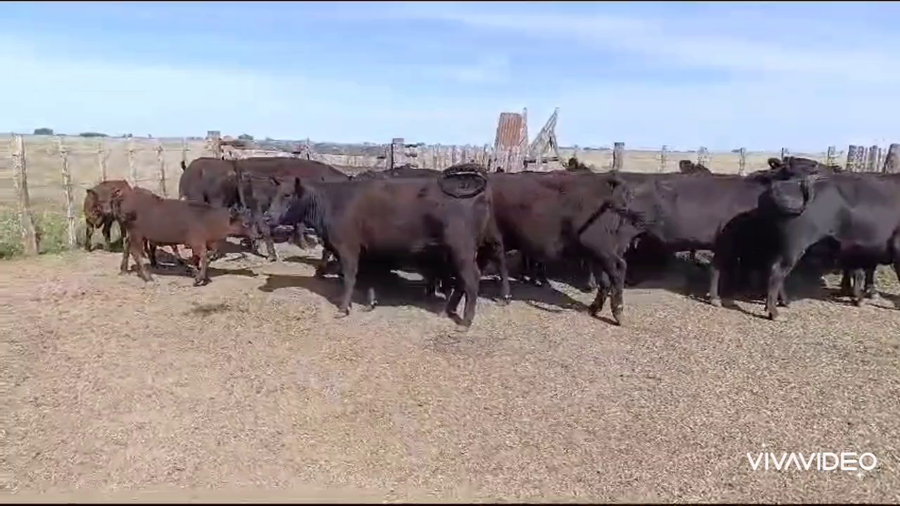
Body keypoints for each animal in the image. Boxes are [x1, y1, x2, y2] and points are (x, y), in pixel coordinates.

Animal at [111, 188, 259, 286]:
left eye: (252, 221)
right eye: (246, 223)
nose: (258, 235)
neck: (206, 219)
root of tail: (124, 195)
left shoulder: (203, 243)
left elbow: (201, 257)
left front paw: (196, 272)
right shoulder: (197, 242)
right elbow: (203, 257)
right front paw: (199, 278)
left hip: (132, 234)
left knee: (127, 246)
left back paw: (124, 269)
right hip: (137, 234)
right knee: (135, 252)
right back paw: (148, 277)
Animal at [261, 164, 510, 328]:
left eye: (287, 195)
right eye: (273, 195)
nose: (267, 217)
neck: (331, 203)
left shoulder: (348, 247)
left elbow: (350, 277)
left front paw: (343, 308)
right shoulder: (368, 251)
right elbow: (369, 277)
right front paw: (369, 303)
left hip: (462, 249)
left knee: (471, 278)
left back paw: (465, 320)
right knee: (463, 279)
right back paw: (448, 310)